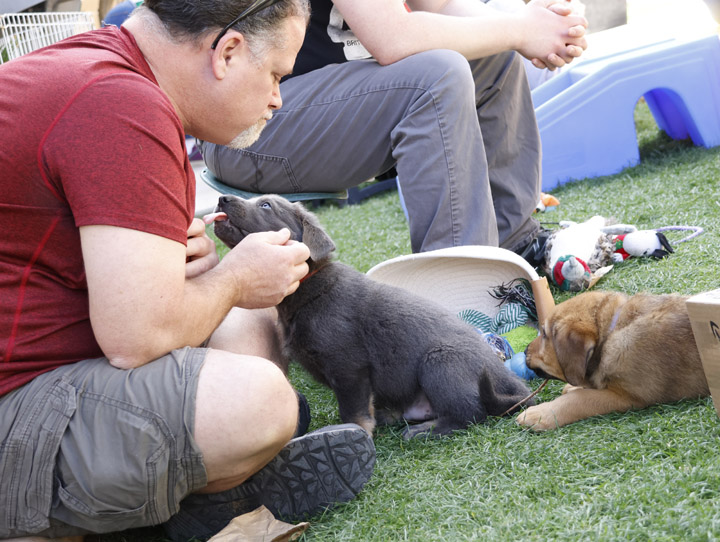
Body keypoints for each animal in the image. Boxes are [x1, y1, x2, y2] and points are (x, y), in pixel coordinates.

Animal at [210, 193, 536, 440]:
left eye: (266, 205)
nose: (221, 198)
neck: (307, 288)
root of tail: (512, 384)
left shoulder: (348, 367)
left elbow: (352, 409)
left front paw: (355, 433)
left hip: (441, 362)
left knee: (469, 413)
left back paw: (424, 431)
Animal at [516, 294, 708, 434]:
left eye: (544, 334)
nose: (524, 350)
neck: (611, 332)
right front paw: (573, 387)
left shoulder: (627, 397)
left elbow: (579, 398)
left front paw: (540, 414)